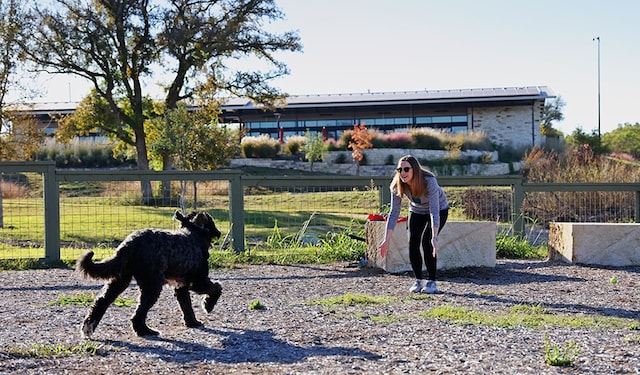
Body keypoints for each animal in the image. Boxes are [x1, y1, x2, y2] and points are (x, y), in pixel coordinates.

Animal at [76, 210, 222, 340]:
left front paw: (192, 322)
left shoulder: (181, 286)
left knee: (102, 301)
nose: (219, 233)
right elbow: (216, 287)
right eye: (212, 222)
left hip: (120, 279)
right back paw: (145, 331)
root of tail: (130, 243)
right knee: (139, 313)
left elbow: (186, 305)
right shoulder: (198, 281)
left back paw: (88, 328)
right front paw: (208, 305)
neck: (194, 233)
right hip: (152, 284)